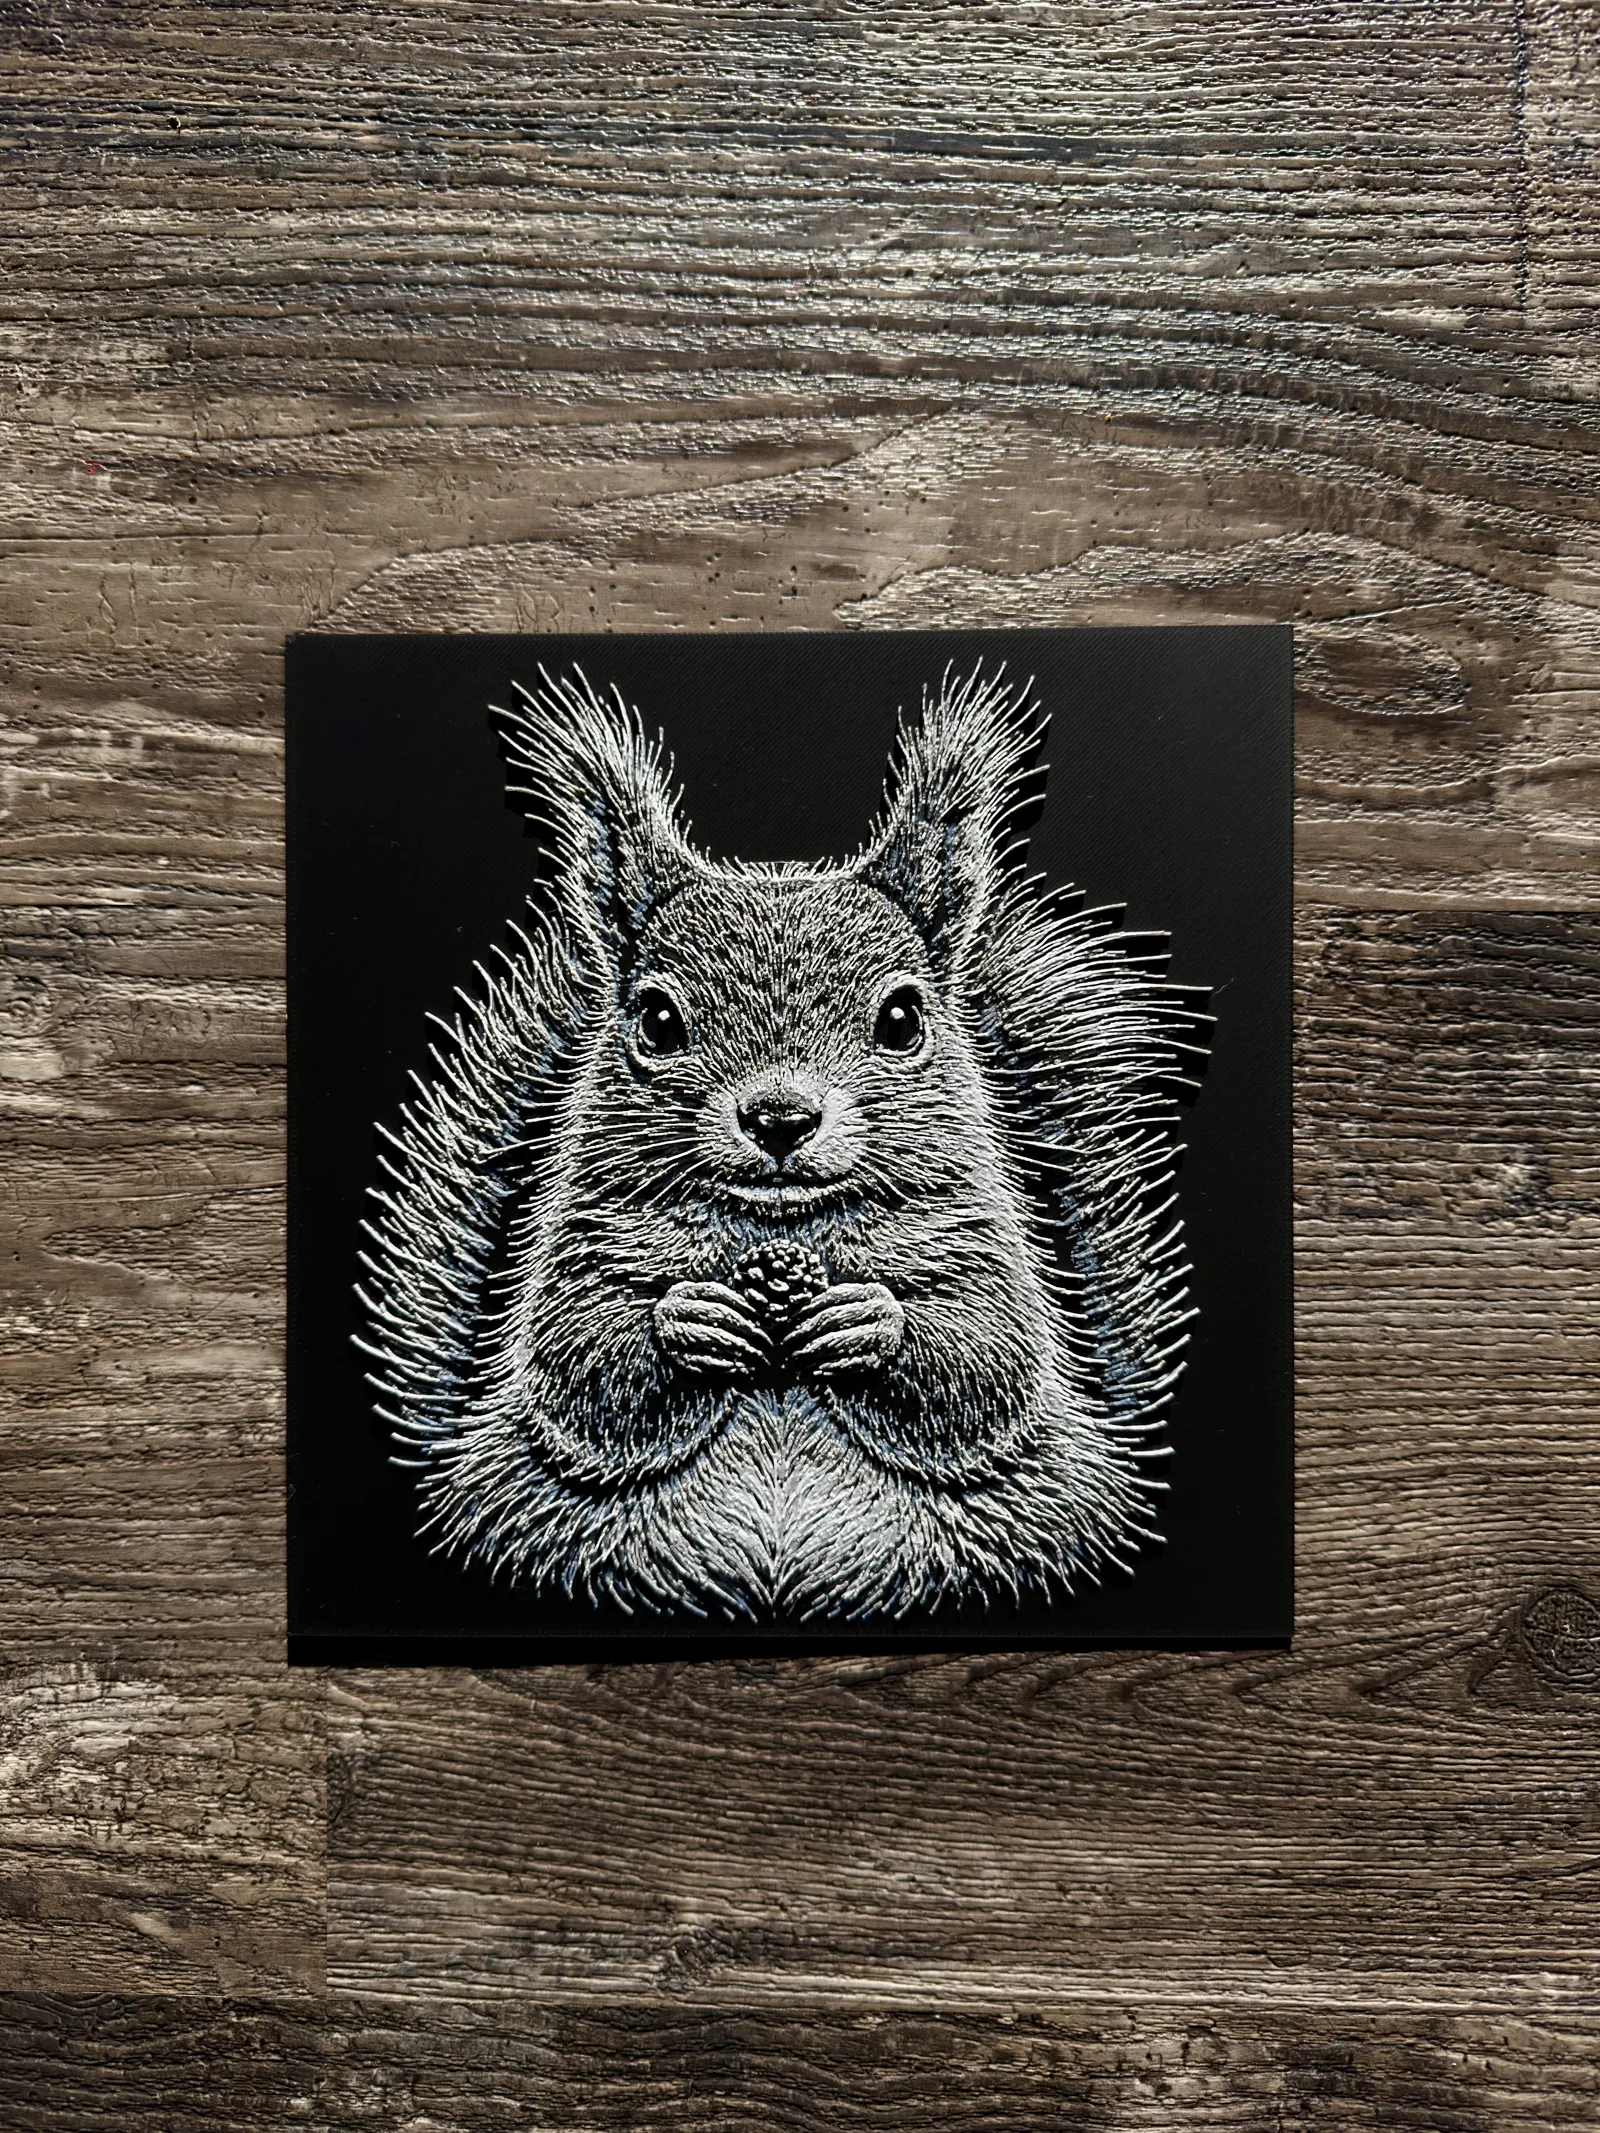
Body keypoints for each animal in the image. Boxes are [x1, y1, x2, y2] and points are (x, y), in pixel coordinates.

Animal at [358, 662, 1210, 1621]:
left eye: (903, 1018)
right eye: (655, 1019)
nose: (779, 1117)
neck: (782, 1224)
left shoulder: (977, 1240)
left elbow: (986, 1361)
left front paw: (868, 1320)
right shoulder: (584, 1242)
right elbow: (580, 1362)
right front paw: (688, 1319)